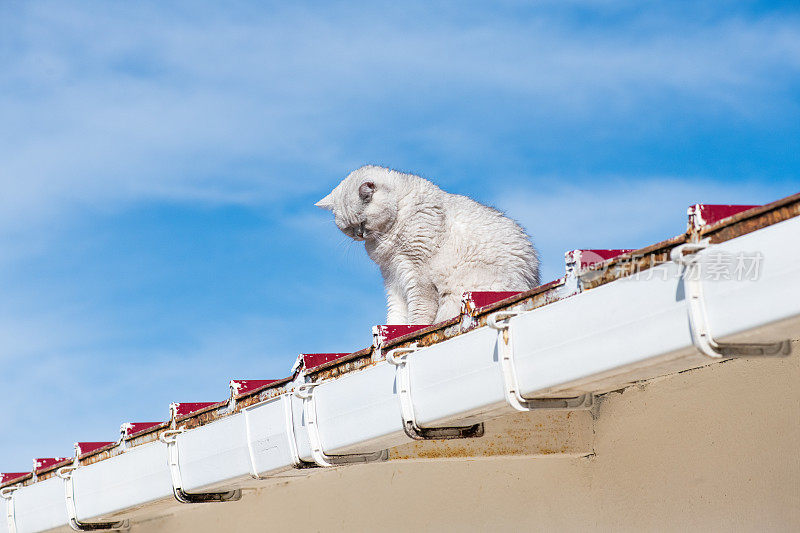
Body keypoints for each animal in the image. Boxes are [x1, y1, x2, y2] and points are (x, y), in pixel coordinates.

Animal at [316, 166, 540, 324]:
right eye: (348, 228)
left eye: (361, 223)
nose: (359, 235)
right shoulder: (393, 276)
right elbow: (396, 316)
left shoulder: (416, 274)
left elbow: (418, 314)